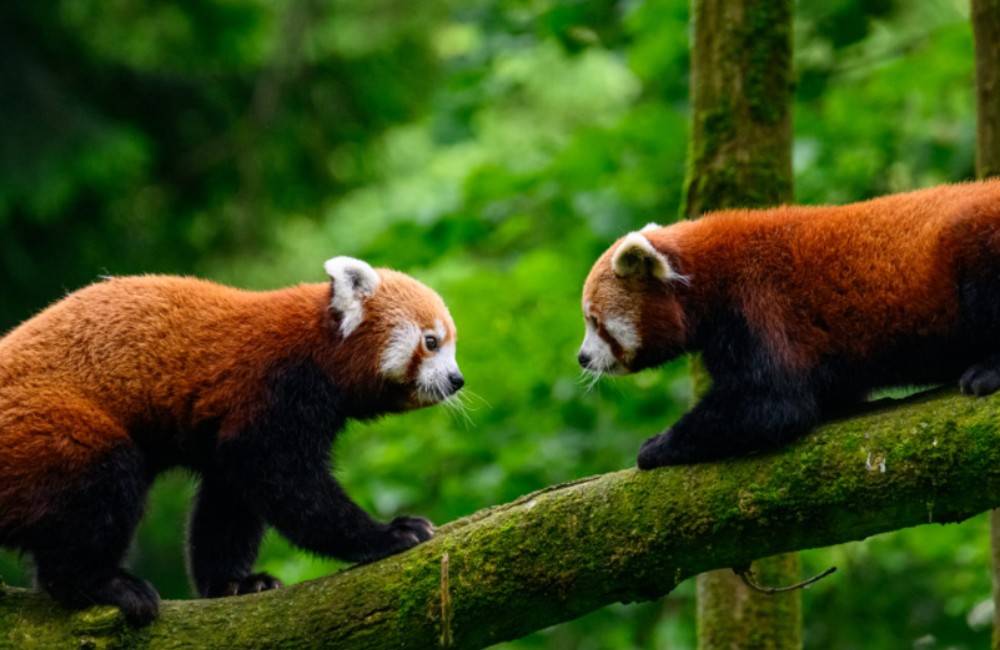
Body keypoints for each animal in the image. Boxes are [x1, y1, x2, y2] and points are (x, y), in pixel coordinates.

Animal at [0, 256, 462, 624]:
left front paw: (234, 583)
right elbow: (287, 483)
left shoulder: (228, 433)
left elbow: (228, 503)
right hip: (52, 429)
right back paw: (102, 583)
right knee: (106, 481)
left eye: (451, 346)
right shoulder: (276, 388)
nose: (457, 379)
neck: (319, 346)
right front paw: (387, 534)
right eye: (431, 341)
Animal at [580, 180, 1000, 468]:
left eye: (595, 322)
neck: (709, 275)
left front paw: (657, 445)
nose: (582, 358)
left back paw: (986, 372)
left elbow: (774, 405)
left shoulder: (759, 306)